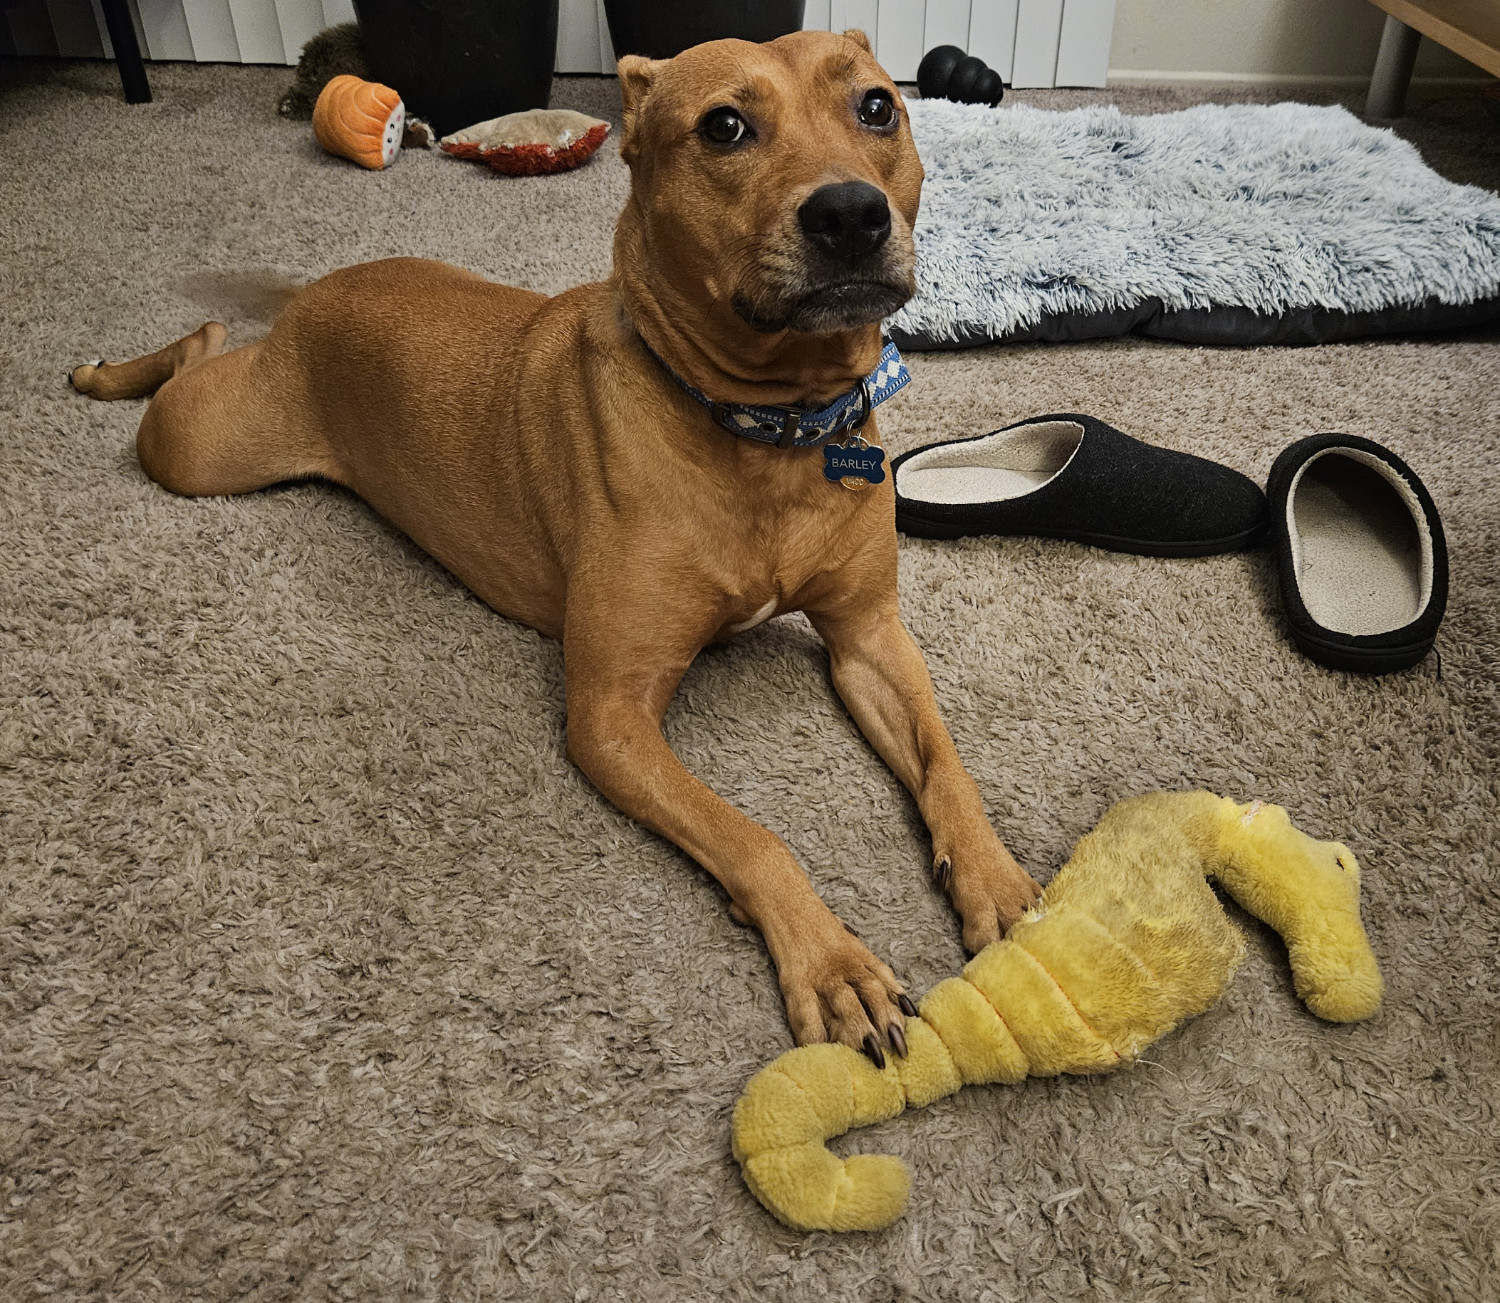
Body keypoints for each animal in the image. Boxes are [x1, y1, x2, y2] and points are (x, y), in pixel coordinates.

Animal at [73, 30, 1044, 1061]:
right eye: (724, 127)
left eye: (877, 108)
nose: (852, 213)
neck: (766, 427)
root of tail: (320, 290)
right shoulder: (610, 717)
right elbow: (752, 836)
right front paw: (833, 964)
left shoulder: (870, 638)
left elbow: (946, 763)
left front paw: (997, 882)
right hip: (199, 449)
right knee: (198, 347)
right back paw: (106, 372)